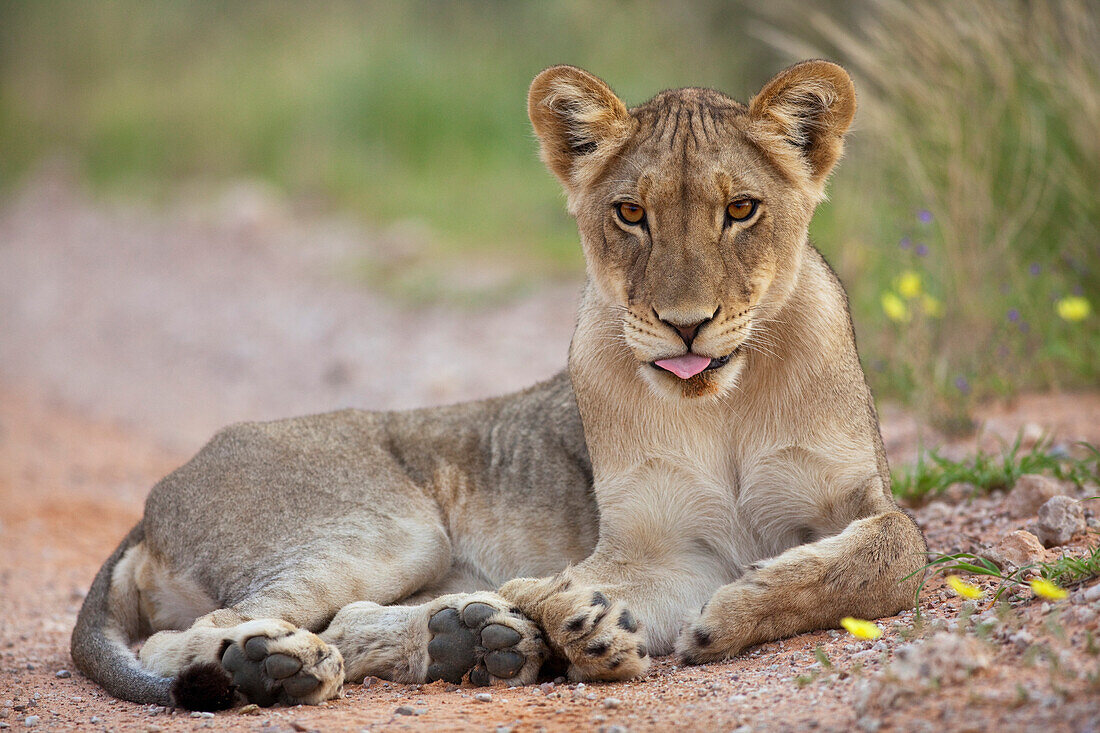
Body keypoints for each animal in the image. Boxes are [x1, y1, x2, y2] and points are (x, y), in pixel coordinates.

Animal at [70, 62, 928, 708]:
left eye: (741, 208)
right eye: (631, 213)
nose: (686, 325)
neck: (728, 405)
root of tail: (156, 496)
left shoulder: (852, 499)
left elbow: (893, 552)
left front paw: (727, 611)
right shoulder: (663, 550)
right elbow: (583, 584)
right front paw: (581, 620)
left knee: (345, 620)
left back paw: (476, 639)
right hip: (389, 528)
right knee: (199, 631)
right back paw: (281, 662)